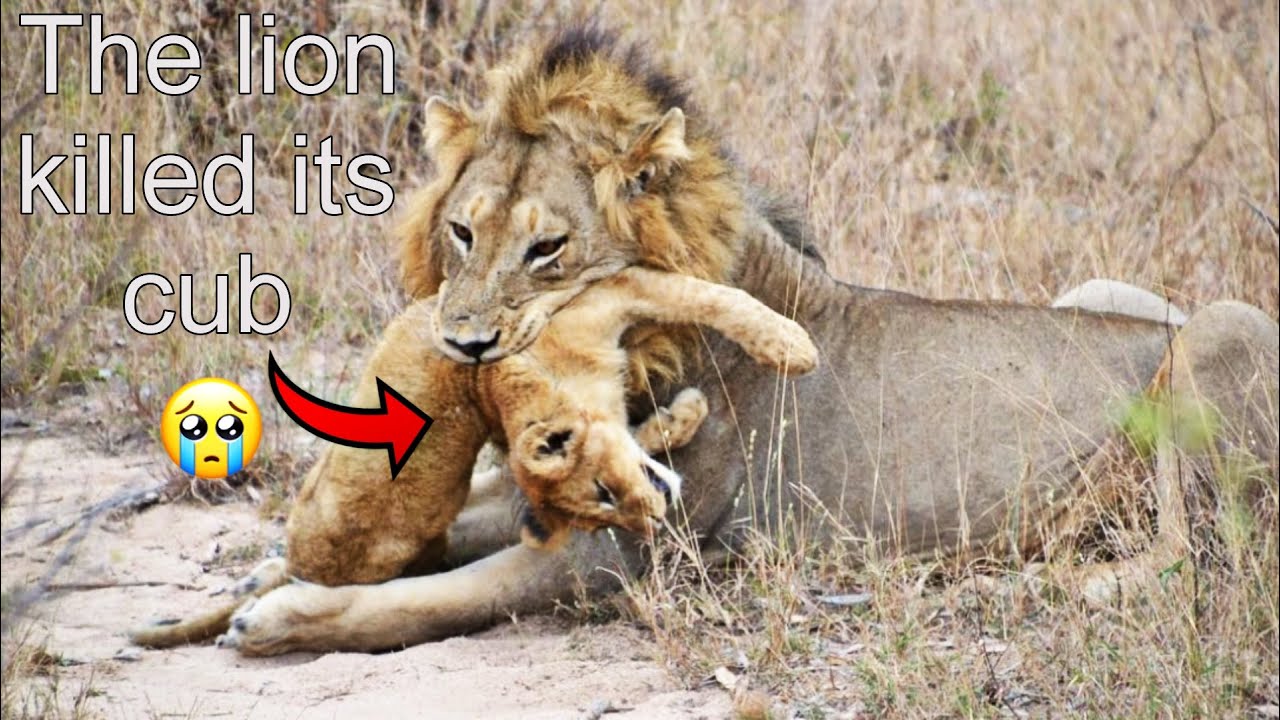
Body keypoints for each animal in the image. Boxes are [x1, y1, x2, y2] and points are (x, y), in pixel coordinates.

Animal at [137, 26, 1277, 656]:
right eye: (461, 231)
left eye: (547, 248)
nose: (458, 347)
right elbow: (445, 531)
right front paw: (252, 585)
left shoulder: (623, 553)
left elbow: (431, 600)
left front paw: (282, 618)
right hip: (1114, 294)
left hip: (1224, 329)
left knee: (1187, 560)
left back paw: (1025, 583)